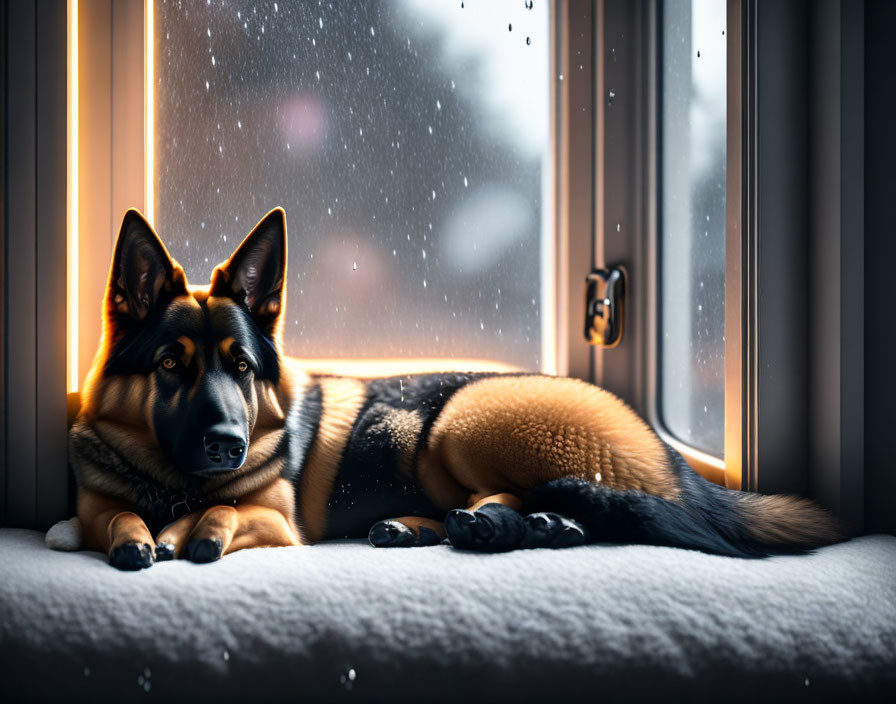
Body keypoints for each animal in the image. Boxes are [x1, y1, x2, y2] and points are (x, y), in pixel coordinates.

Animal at [68, 206, 840, 568]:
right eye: (171, 365)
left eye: (244, 367)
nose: (227, 445)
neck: (176, 483)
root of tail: (679, 464)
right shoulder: (97, 507)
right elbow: (115, 516)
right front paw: (143, 532)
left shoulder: (275, 520)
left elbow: (228, 510)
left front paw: (193, 527)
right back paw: (454, 527)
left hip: (459, 422)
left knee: (520, 498)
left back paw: (513, 525)